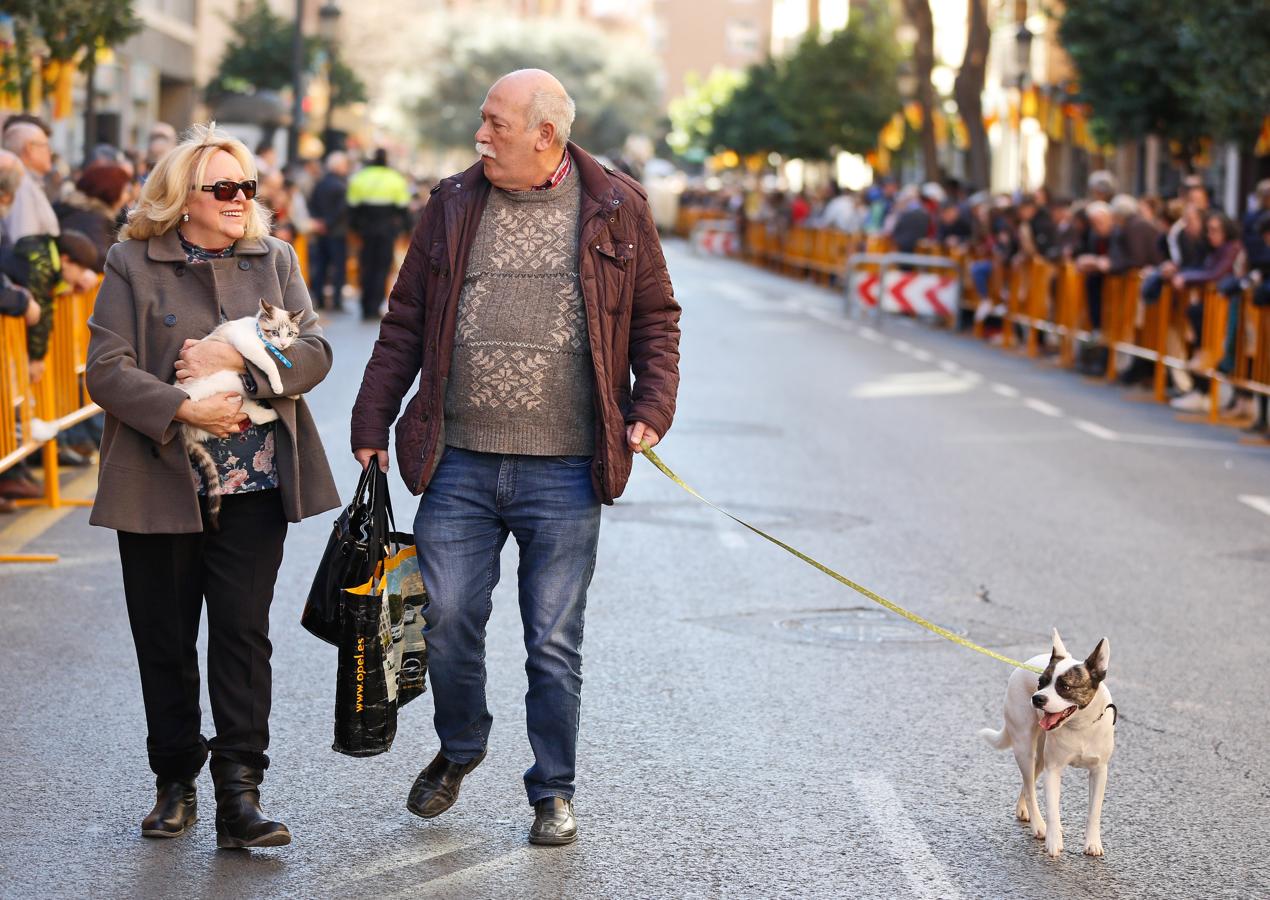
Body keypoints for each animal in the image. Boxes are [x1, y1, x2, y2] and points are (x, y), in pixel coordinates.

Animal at [179, 298, 302, 522]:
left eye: (290, 333)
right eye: (274, 332)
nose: (282, 344)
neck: (258, 333)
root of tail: (185, 430)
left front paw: (291, 391)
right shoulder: (249, 348)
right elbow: (270, 364)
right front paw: (279, 385)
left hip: (241, 399)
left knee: (256, 413)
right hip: (229, 383)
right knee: (258, 413)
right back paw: (276, 411)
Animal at [980, 629, 1112, 853]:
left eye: (1065, 687)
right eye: (1041, 682)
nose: (1037, 698)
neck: (1079, 726)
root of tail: (1025, 663)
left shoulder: (1099, 771)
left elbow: (1094, 811)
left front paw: (1093, 843)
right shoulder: (1053, 770)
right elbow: (1052, 809)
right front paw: (1053, 841)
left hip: (1040, 757)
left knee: (1029, 781)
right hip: (1025, 748)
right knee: (1030, 788)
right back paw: (1039, 825)